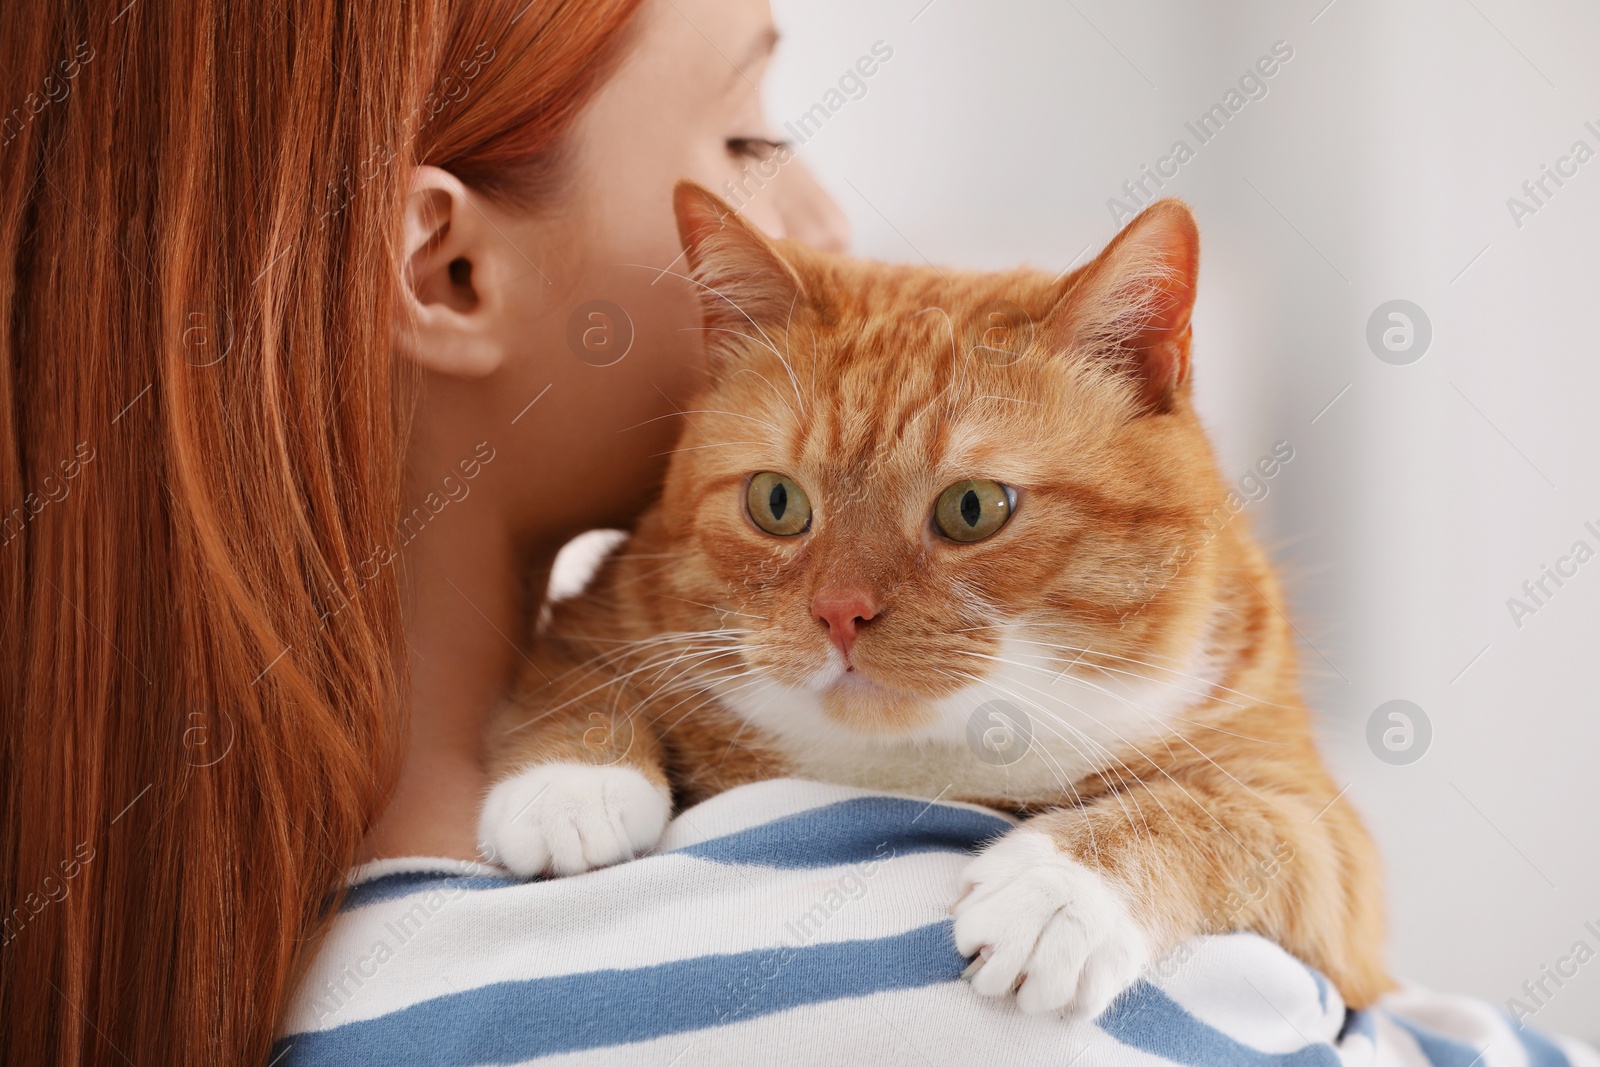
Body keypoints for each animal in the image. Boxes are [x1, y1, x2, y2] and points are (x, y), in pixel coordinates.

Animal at [476, 181, 1388, 1017]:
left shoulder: (1329, 853)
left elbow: (1222, 816)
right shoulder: (606, 607)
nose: (840, 611)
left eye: (973, 508)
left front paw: (1060, 893)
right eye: (777, 502)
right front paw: (572, 788)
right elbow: (581, 673)